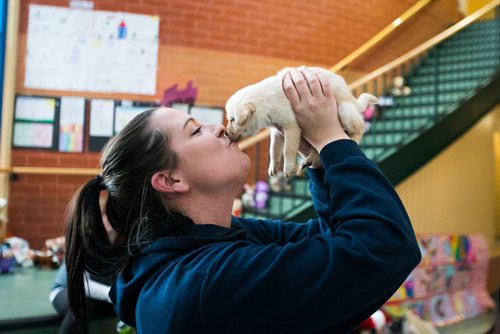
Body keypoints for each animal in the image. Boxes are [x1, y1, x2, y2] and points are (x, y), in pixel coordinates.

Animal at [225, 66, 376, 179]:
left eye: (232, 120)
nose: (225, 133)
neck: (264, 101)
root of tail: (354, 102)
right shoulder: (277, 132)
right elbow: (273, 150)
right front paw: (273, 167)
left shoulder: (291, 127)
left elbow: (287, 149)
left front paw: (288, 168)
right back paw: (308, 159)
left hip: (345, 111)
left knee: (360, 128)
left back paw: (354, 140)